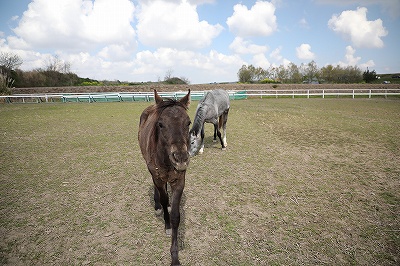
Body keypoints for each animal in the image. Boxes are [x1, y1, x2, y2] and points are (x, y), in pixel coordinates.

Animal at [138, 90, 191, 266]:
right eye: (160, 124)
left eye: (188, 123)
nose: (180, 158)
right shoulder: (158, 177)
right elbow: (162, 197)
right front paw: (167, 225)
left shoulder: (179, 181)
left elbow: (176, 216)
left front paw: (175, 256)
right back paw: (158, 206)